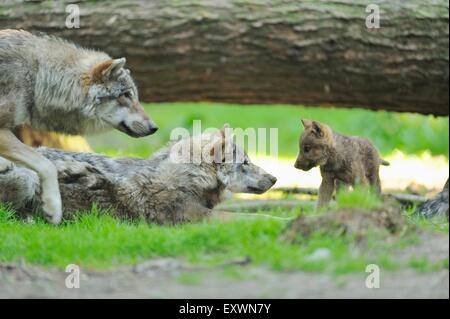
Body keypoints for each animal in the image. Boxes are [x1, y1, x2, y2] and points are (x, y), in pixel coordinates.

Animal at [0, 29, 158, 225]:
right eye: (126, 95)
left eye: (134, 96)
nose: (154, 128)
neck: (39, 78)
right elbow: (47, 165)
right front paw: (53, 208)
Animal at [0, 125, 278, 225]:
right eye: (246, 163)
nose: (275, 179)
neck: (190, 176)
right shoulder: (198, 217)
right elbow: (253, 216)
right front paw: (280, 220)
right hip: (28, 177)